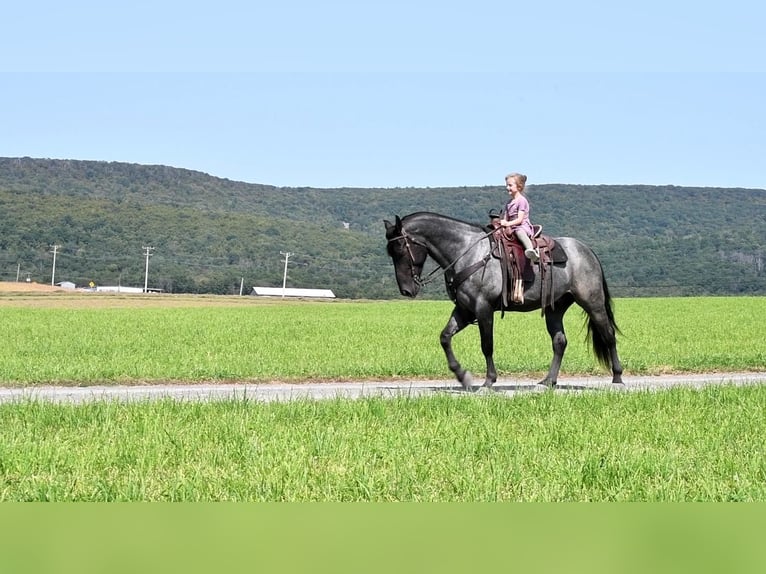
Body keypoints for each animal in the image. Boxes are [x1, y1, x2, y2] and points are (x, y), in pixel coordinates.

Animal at [384, 214, 624, 394]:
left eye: (401, 248)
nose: (406, 290)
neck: (468, 252)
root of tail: (587, 251)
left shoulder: (483, 308)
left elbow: (487, 345)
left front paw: (488, 382)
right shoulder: (464, 310)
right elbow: (445, 337)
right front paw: (462, 376)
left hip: (593, 303)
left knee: (609, 335)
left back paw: (617, 378)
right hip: (555, 308)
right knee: (559, 342)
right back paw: (547, 381)